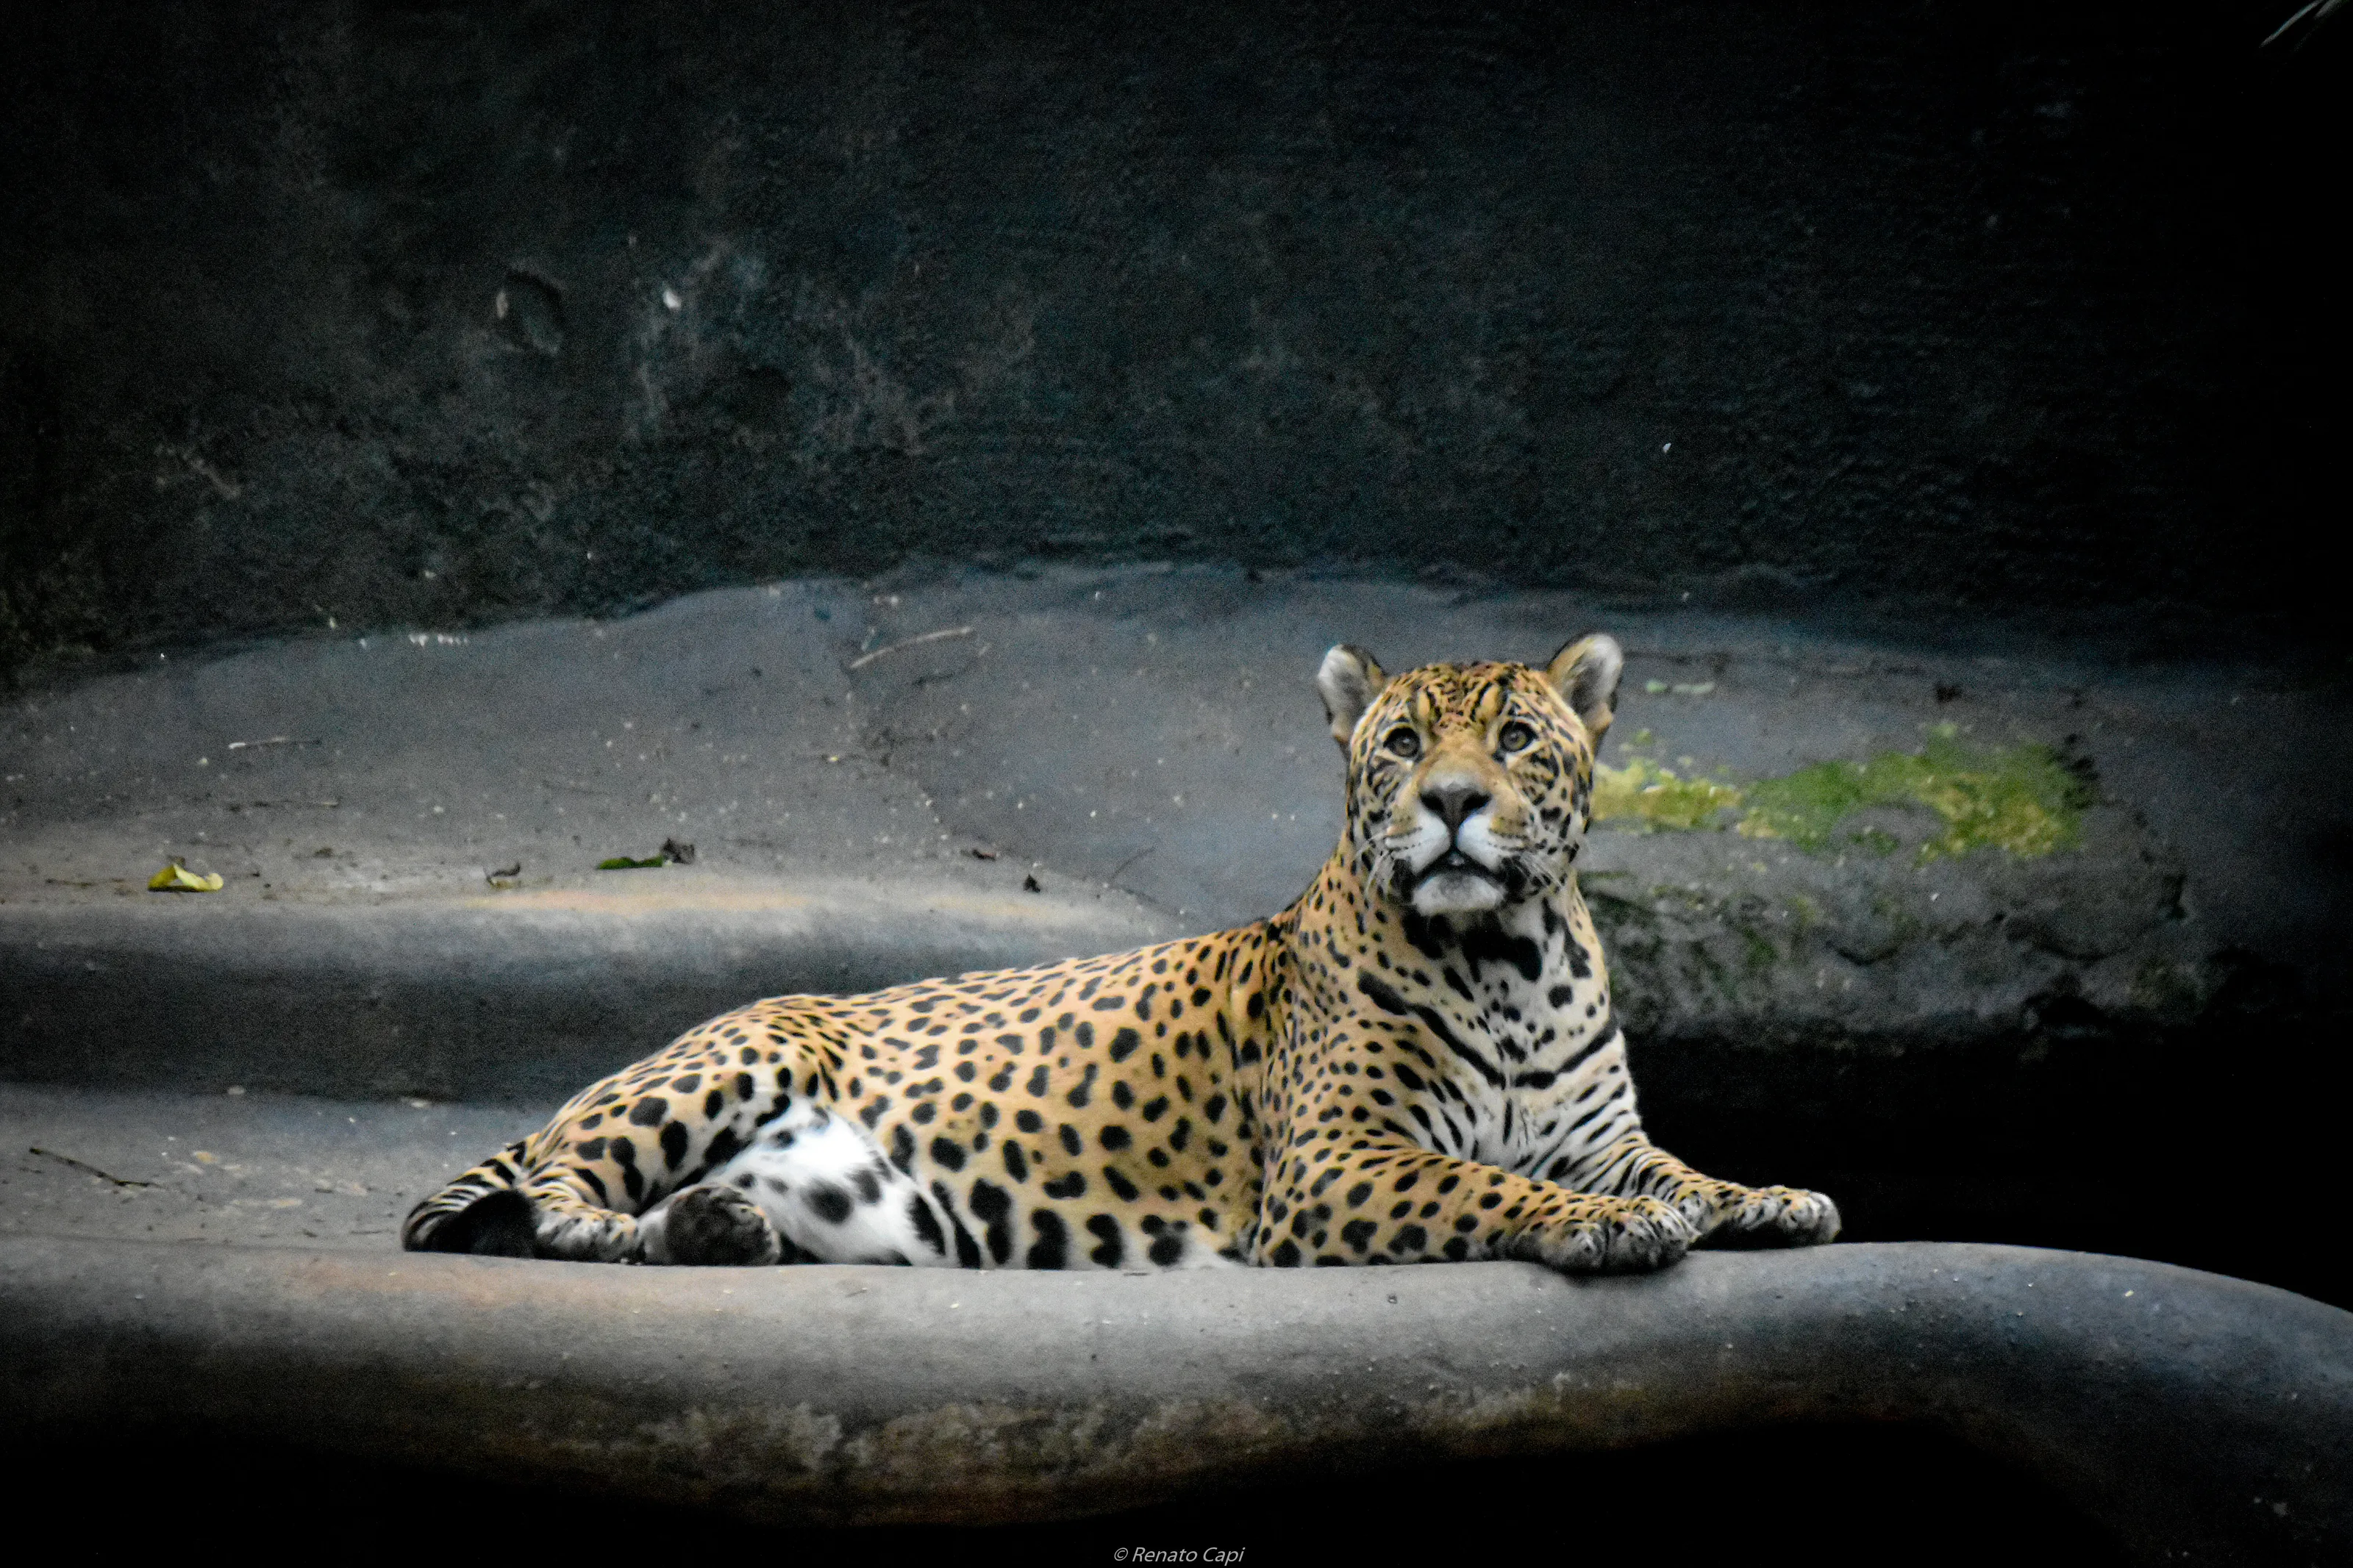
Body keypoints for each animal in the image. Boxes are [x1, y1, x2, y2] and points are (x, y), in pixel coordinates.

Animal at [404, 633, 1839, 1273]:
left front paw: (1771, 1195)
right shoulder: (1336, 1164)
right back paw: (619, 1225)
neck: (1511, 958)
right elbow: (1489, 1187)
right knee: (551, 1196)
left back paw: (719, 1224)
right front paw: (1607, 1227)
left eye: (1519, 740)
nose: (1450, 802)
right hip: (725, 1063)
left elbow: (1683, 1167)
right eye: (1399, 743)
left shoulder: (1597, 1129)